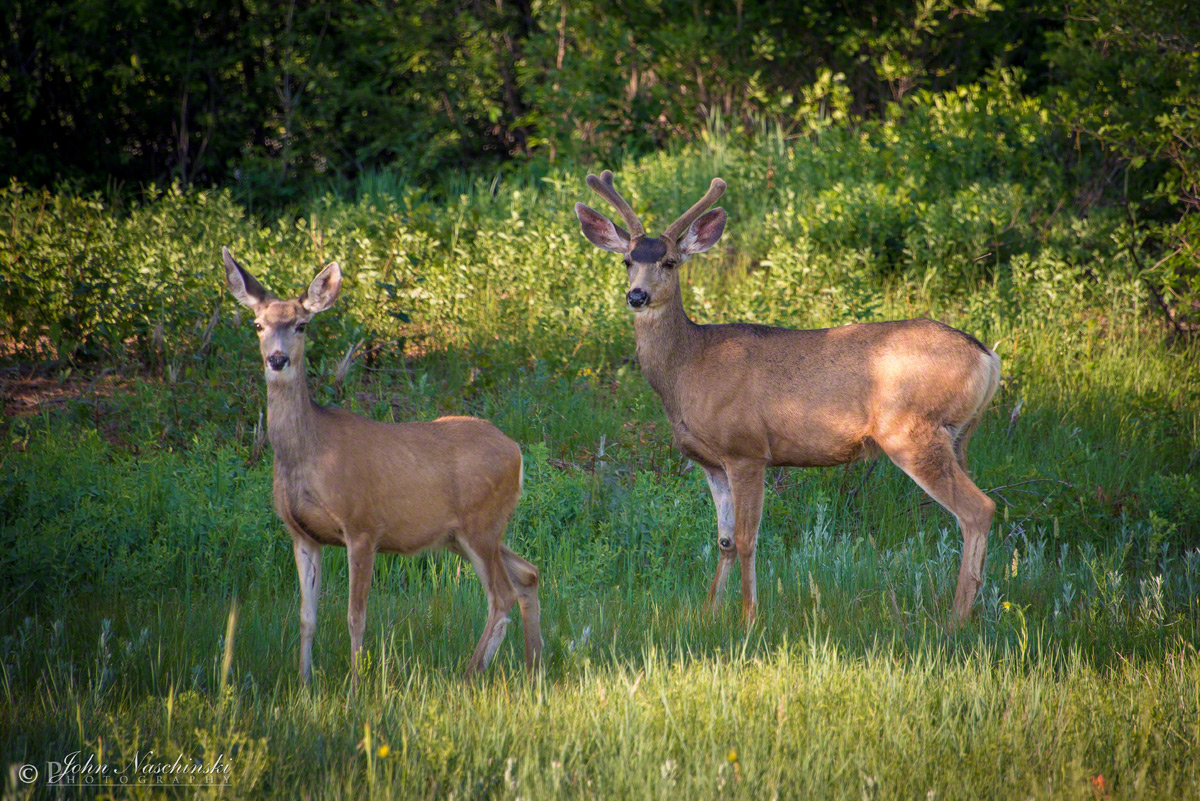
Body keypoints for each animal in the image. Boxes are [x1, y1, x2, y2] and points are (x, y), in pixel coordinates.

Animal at [223, 247, 542, 681]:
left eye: (302, 325)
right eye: (258, 324)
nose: (277, 358)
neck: (309, 455)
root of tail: (516, 452)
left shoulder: (362, 525)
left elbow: (355, 616)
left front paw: (357, 684)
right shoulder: (301, 533)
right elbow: (306, 617)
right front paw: (304, 682)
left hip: (481, 523)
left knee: (502, 594)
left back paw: (470, 672)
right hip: (461, 534)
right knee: (528, 573)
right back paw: (533, 666)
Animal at [576, 172, 998, 623]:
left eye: (670, 262)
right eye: (627, 260)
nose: (637, 295)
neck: (688, 368)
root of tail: (987, 358)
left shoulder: (746, 449)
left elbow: (747, 538)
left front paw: (748, 618)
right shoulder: (711, 461)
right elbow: (724, 539)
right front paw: (708, 613)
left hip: (912, 431)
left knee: (979, 509)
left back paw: (954, 621)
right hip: (957, 436)